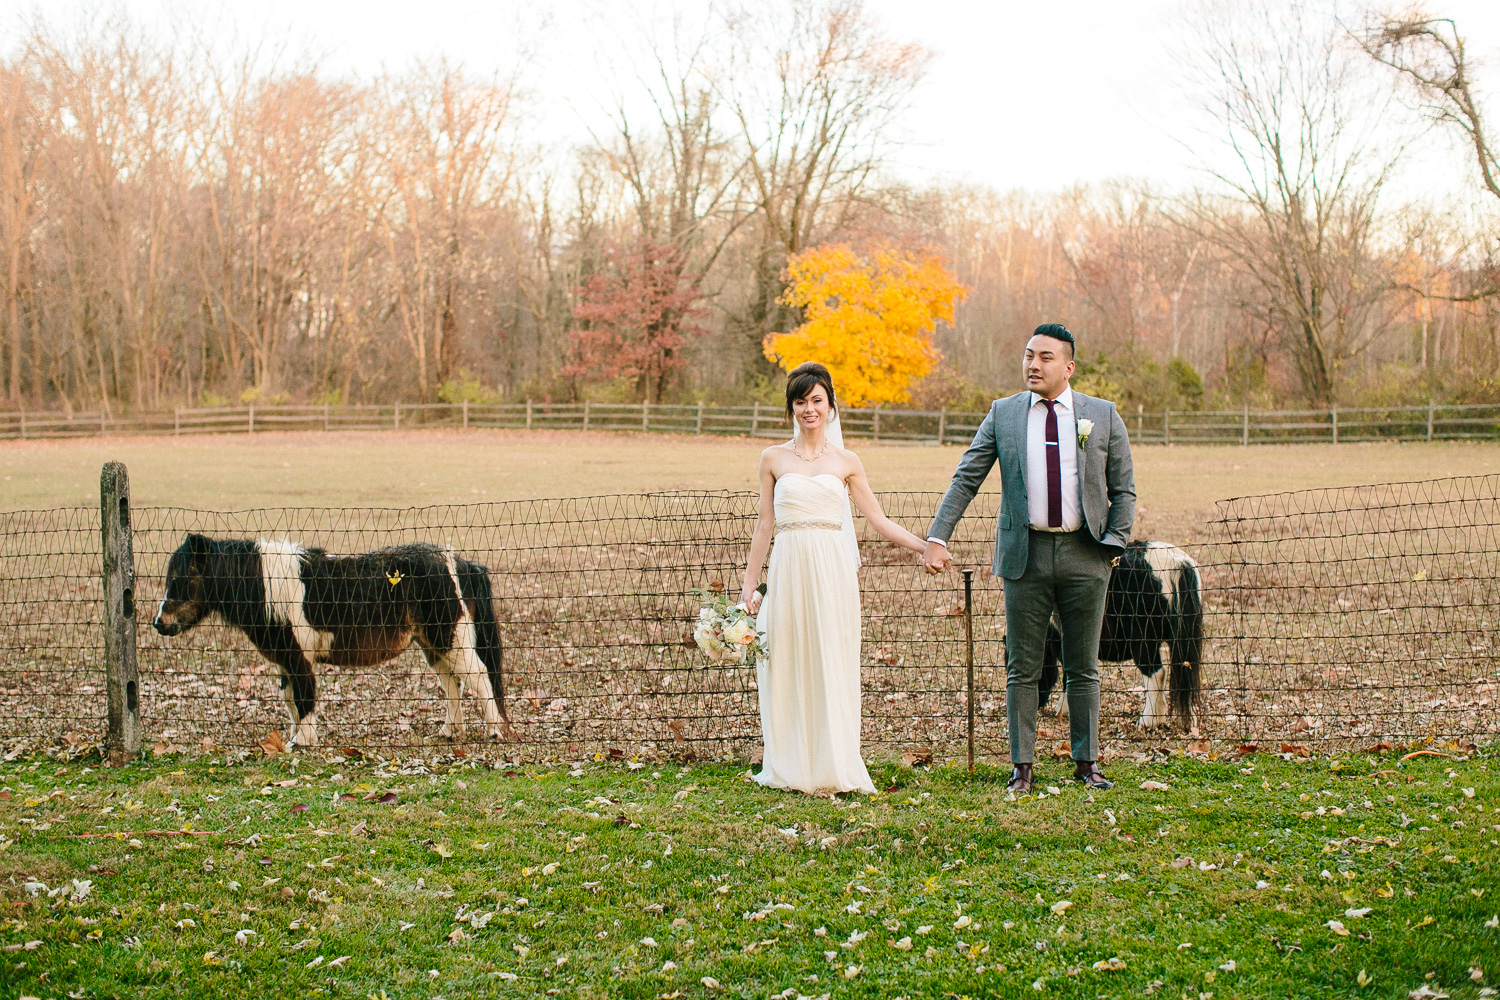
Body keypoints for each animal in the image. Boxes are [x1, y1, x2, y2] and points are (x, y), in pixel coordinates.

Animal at [150, 536, 510, 746]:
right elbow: (290, 700)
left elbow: (305, 698)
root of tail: (458, 562)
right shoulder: (285, 659)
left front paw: (304, 742)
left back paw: (494, 731)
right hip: (433, 644)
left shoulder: (299, 659)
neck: (270, 587)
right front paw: (295, 737)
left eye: (182, 579)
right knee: (452, 684)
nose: (158, 623)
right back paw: (451, 731)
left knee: (478, 677)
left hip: (449, 638)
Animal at [1044, 542, 1206, 731]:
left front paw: (1062, 710)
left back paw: (1148, 720)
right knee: (1185, 673)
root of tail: (1175, 560)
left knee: (1156, 674)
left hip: (1143, 642)